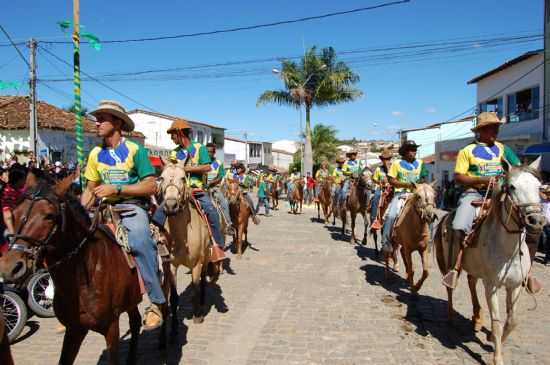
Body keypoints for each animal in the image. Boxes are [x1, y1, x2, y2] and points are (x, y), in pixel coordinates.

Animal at [0, 173, 147, 364]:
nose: (11, 267)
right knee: (135, 321)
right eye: (14, 213)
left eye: (49, 215)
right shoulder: (75, 328)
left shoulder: (111, 328)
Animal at [158, 161, 219, 326]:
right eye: (161, 178)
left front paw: (198, 316)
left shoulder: (197, 264)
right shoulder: (171, 266)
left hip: (206, 256)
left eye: (183, 178)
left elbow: (196, 289)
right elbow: (173, 297)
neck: (181, 237)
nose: (171, 205)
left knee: (203, 280)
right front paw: (174, 326)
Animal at [436, 157, 548, 364]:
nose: (536, 220)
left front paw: (489, 338)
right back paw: (451, 316)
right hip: (449, 263)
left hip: (474, 268)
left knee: (471, 283)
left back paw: (477, 318)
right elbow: (496, 323)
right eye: (512, 186)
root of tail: (447, 215)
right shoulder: (492, 287)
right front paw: (497, 358)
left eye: (539, 187)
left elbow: (512, 321)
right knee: (450, 288)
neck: (508, 251)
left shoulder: (515, 286)